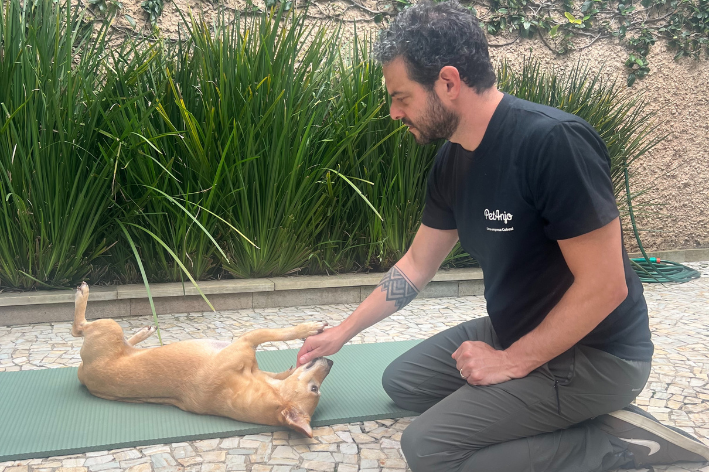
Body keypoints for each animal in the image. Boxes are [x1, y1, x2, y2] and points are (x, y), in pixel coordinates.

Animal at [71, 282, 334, 436]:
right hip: (111, 328)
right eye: (314, 389)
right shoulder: (247, 341)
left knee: (79, 328)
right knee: (78, 328)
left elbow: (277, 345)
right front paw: (309, 329)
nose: (331, 362)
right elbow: (281, 336)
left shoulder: (246, 344)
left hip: (109, 328)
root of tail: (83, 374)